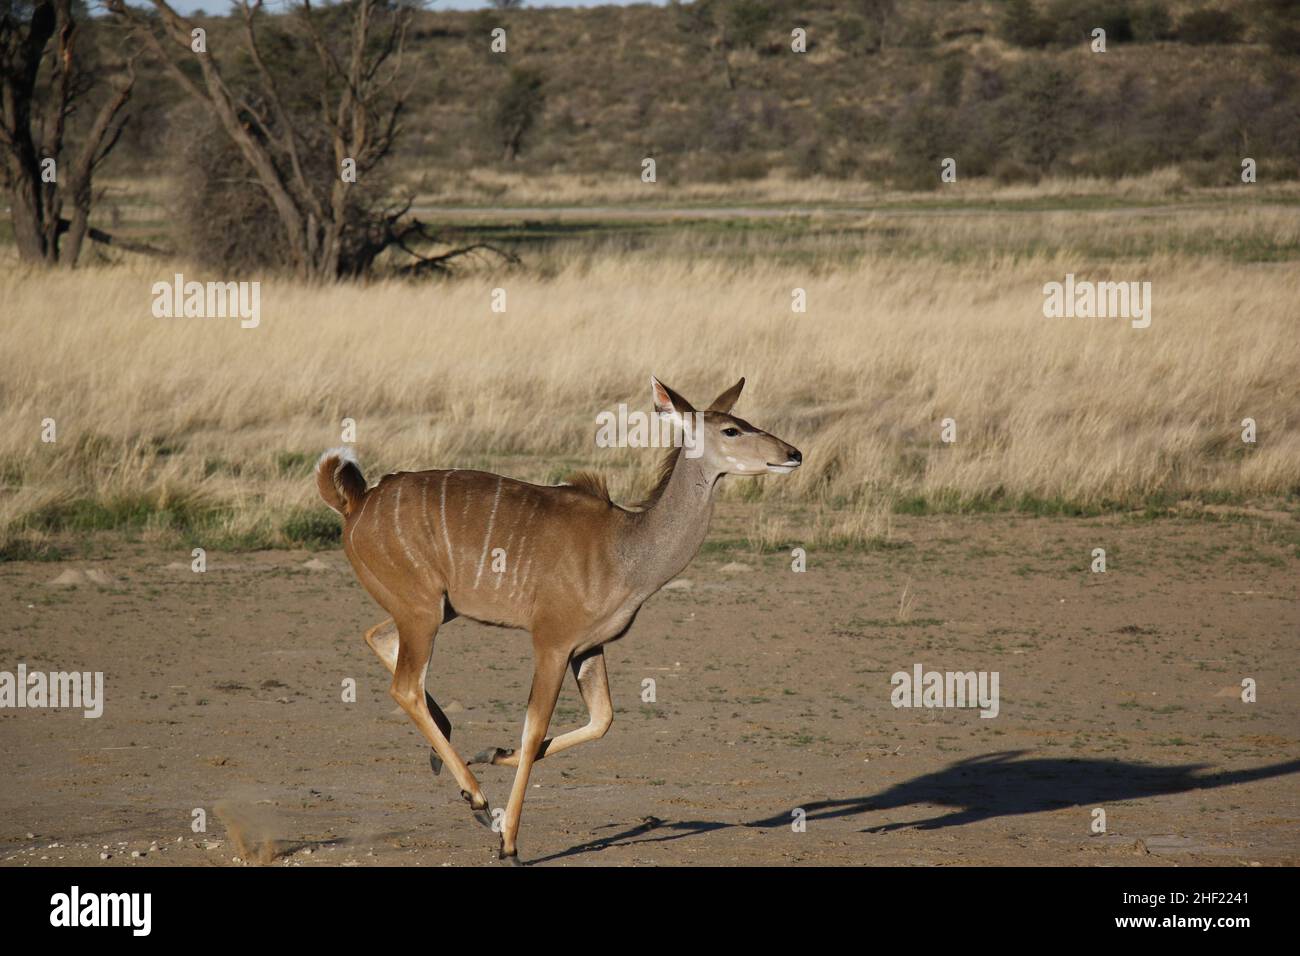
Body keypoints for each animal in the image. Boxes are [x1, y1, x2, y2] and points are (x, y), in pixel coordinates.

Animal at [315, 377, 800, 863]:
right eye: (732, 430)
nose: (793, 453)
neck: (626, 549)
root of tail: (356, 505)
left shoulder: (589, 646)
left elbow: (601, 719)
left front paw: (493, 752)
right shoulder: (551, 641)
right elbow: (535, 729)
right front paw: (508, 842)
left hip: (435, 609)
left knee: (378, 637)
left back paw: (450, 758)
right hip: (423, 610)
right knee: (405, 685)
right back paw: (477, 800)